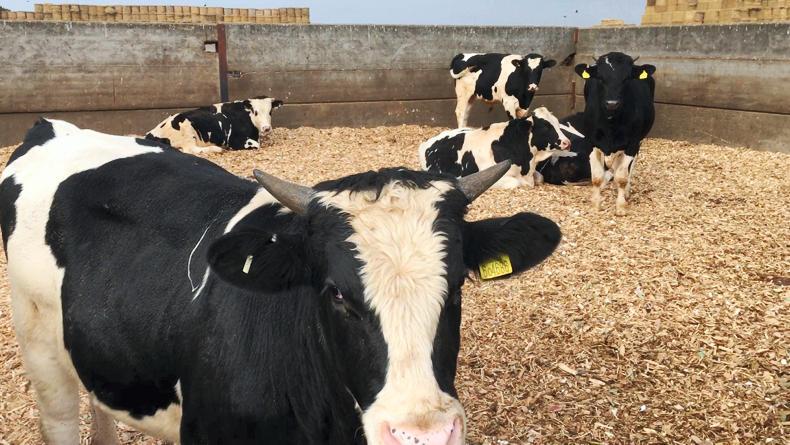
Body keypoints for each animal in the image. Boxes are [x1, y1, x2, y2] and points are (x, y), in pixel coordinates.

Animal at [146, 96, 283, 154]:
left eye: (270, 111)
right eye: (255, 112)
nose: (266, 128)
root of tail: (151, 133)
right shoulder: (235, 140)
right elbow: (256, 145)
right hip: (187, 131)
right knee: (190, 149)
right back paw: (217, 149)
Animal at [573, 52, 656, 215]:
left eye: (626, 78)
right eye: (600, 78)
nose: (612, 103)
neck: (611, 124)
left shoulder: (632, 143)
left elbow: (622, 177)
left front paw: (621, 206)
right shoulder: (591, 142)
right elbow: (596, 177)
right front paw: (596, 204)